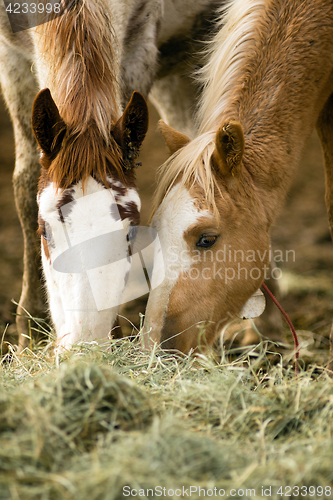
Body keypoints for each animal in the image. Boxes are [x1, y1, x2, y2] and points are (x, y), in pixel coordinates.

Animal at [0, 0, 226, 348]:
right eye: (45, 232)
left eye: (130, 235)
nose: (86, 343)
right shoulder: (10, 58)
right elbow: (25, 188)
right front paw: (31, 335)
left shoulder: (137, 51)